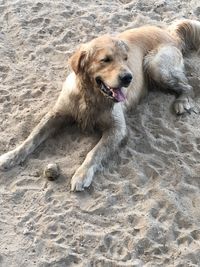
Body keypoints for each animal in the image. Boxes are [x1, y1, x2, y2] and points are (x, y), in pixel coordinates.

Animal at [0, 18, 199, 192]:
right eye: (106, 60)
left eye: (125, 58)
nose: (128, 77)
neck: (90, 96)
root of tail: (170, 33)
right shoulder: (57, 113)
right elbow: (32, 137)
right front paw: (11, 156)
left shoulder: (117, 128)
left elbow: (95, 152)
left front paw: (81, 175)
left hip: (155, 65)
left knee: (188, 86)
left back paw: (182, 102)